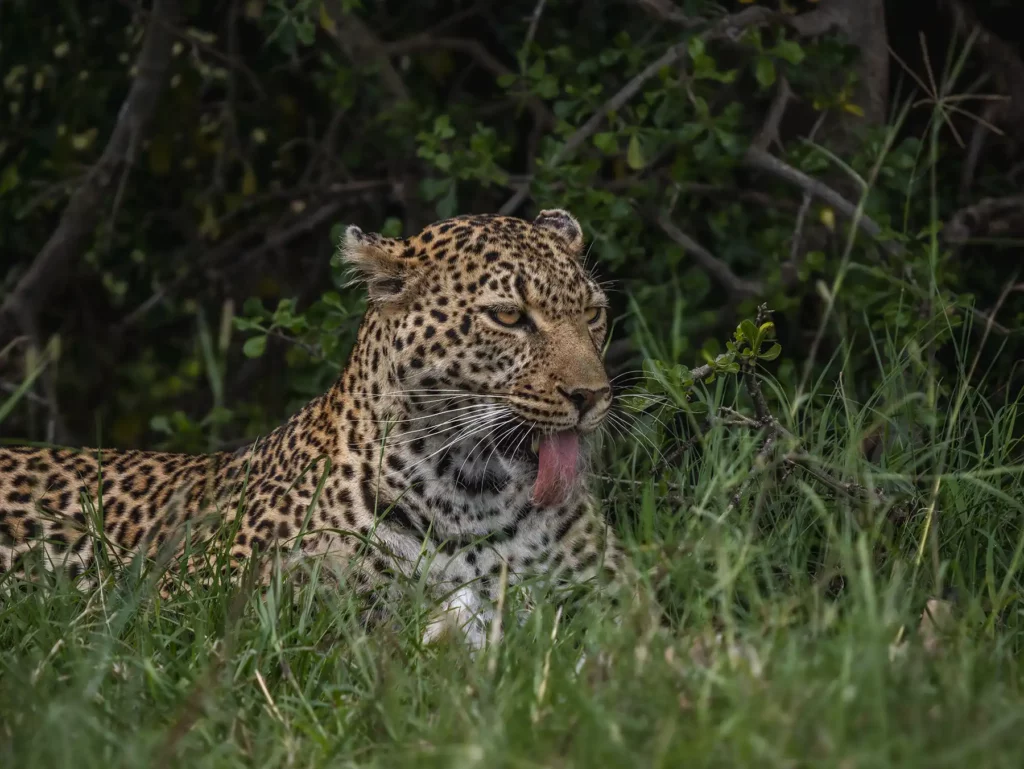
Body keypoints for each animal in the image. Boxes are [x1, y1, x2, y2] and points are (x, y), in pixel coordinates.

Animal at [0, 209, 650, 647]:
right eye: (509, 317)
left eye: (594, 313)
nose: (592, 396)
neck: (473, 496)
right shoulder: (185, 610)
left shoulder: (619, 609)